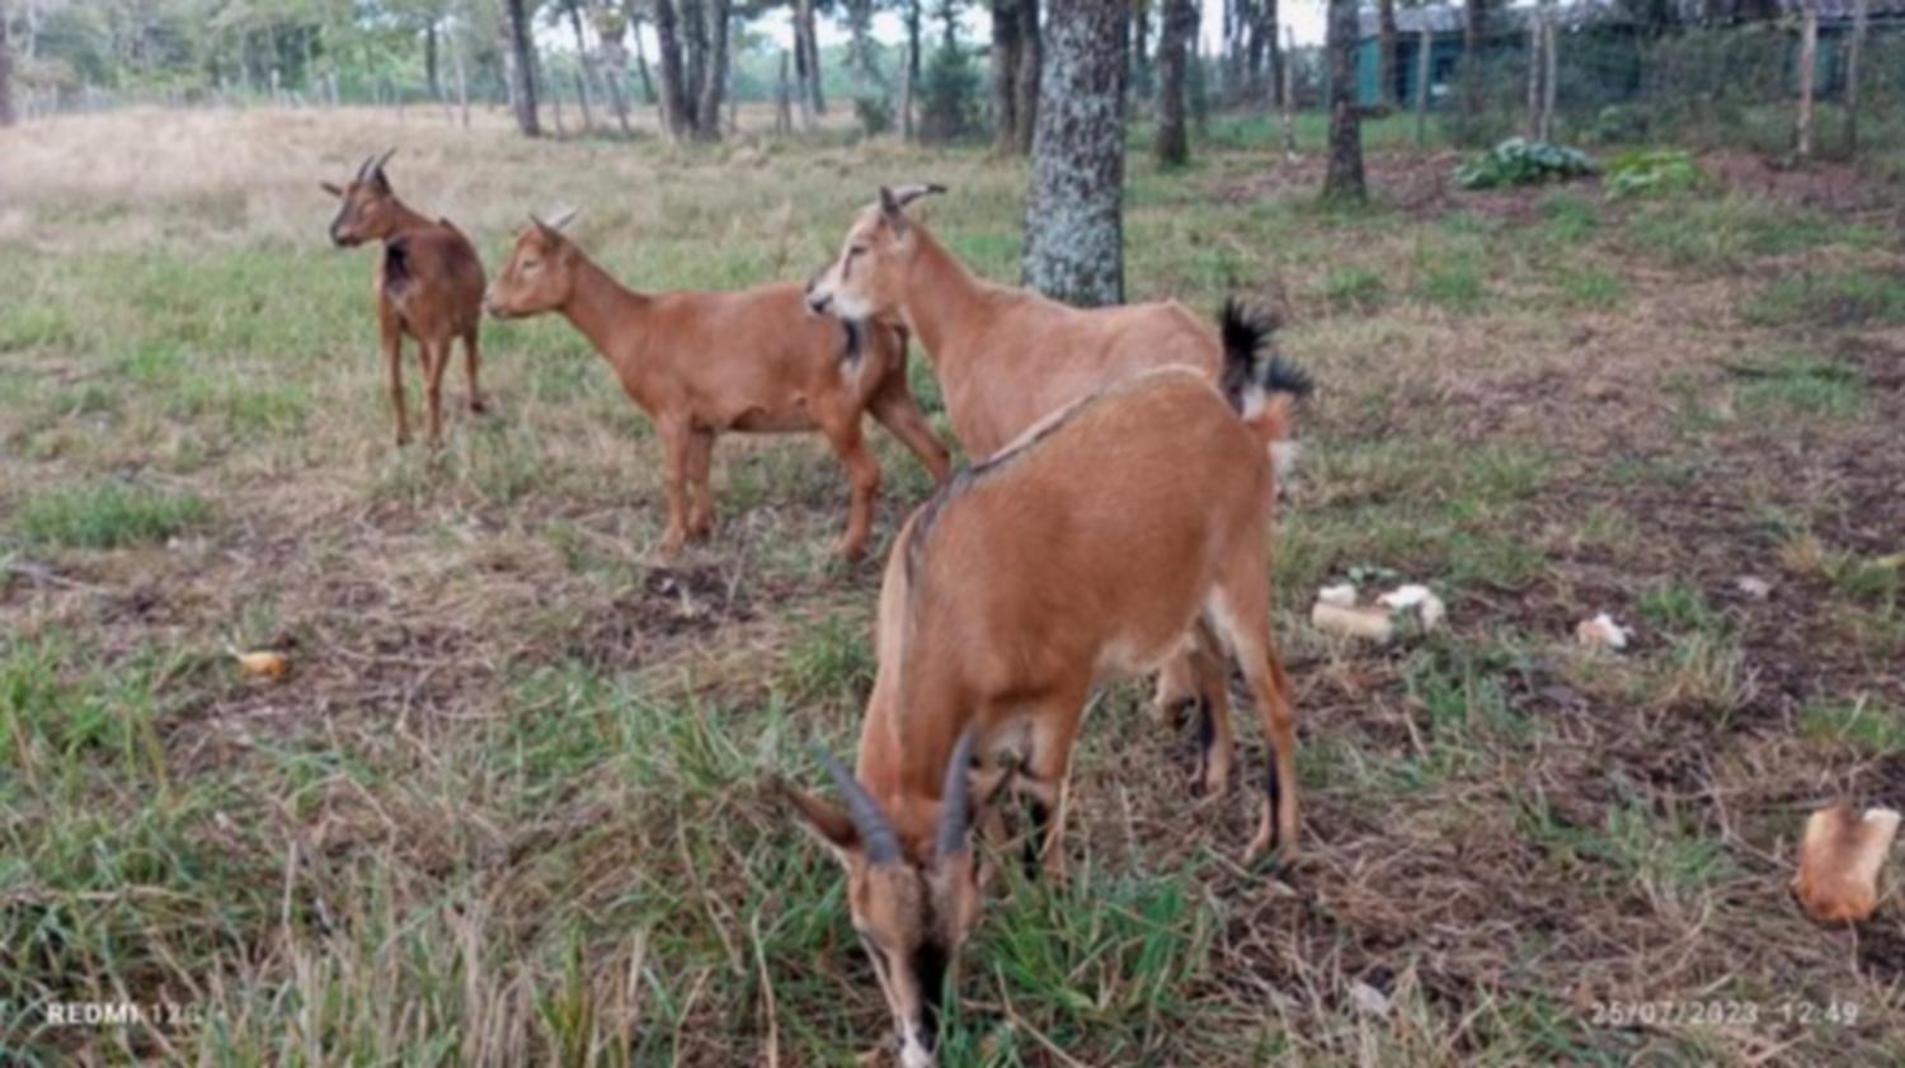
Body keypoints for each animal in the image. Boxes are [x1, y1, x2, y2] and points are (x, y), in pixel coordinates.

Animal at [321, 147, 487, 443]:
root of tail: (397, 257)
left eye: (368, 199)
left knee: (394, 381)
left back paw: (402, 437)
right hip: (438, 334)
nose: (338, 235)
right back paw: (434, 440)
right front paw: (476, 405)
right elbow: (470, 361)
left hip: (389, 329)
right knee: (432, 384)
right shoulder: (469, 321)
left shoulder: (415, 334)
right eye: (342, 197)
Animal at [480, 211, 948, 552]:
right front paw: (701, 528)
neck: (637, 324)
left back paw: (847, 548)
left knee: (868, 473)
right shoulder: (703, 420)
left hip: (837, 408)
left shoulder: (669, 412)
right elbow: (699, 472)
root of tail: (880, 322)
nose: (489, 300)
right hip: (888, 392)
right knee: (936, 451)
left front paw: (670, 541)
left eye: (529, 262)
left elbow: (673, 474)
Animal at [781, 327, 1303, 1066]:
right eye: (867, 933)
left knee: (1273, 695)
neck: (954, 588)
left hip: (1243, 573)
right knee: (1206, 662)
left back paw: (1275, 842)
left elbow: (1040, 802)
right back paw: (1211, 778)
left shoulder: (1060, 694)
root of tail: (1236, 420)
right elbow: (996, 828)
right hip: (1188, 592)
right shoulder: (974, 746)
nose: (924, 1040)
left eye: (960, 928)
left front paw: (1051, 910)